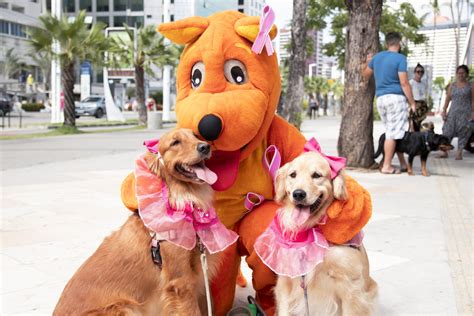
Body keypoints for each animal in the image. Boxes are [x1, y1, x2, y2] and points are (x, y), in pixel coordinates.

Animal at [52, 129, 223, 316]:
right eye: (175, 142)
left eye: (196, 136)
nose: (205, 147)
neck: (185, 201)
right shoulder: (181, 283)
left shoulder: (199, 279)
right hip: (126, 308)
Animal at [272, 152, 376, 314]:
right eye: (293, 175)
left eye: (316, 175)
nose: (298, 194)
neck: (313, 228)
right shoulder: (285, 281)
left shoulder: (351, 287)